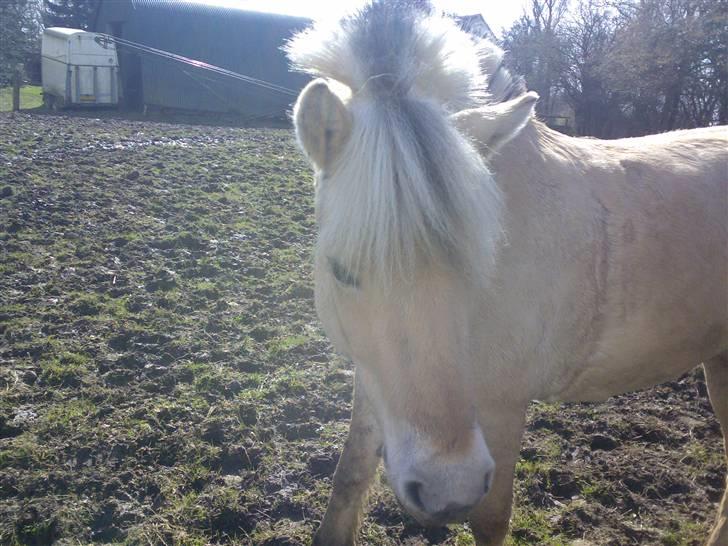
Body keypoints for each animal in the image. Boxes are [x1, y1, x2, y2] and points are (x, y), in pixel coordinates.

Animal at [284, 2, 728, 540]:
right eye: (341, 271)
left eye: (478, 265)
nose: (447, 487)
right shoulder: (374, 384)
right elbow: (348, 477)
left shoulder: (501, 411)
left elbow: (490, 518)